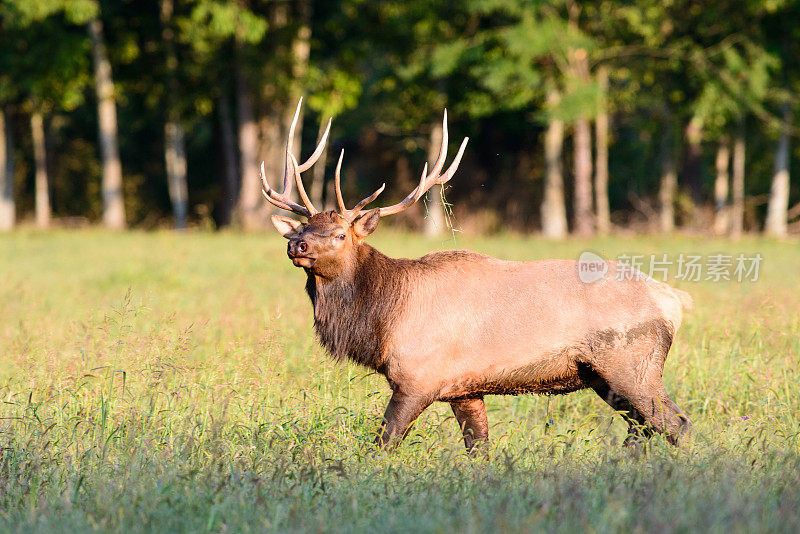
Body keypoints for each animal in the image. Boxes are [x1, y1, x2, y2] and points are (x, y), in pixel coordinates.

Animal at [266, 99, 692, 452]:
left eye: (340, 234)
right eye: (302, 228)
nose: (296, 245)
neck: (382, 319)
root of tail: (674, 301)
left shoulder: (418, 378)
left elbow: (382, 443)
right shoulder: (464, 388)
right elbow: (478, 448)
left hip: (632, 366)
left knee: (675, 424)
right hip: (605, 377)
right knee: (642, 427)